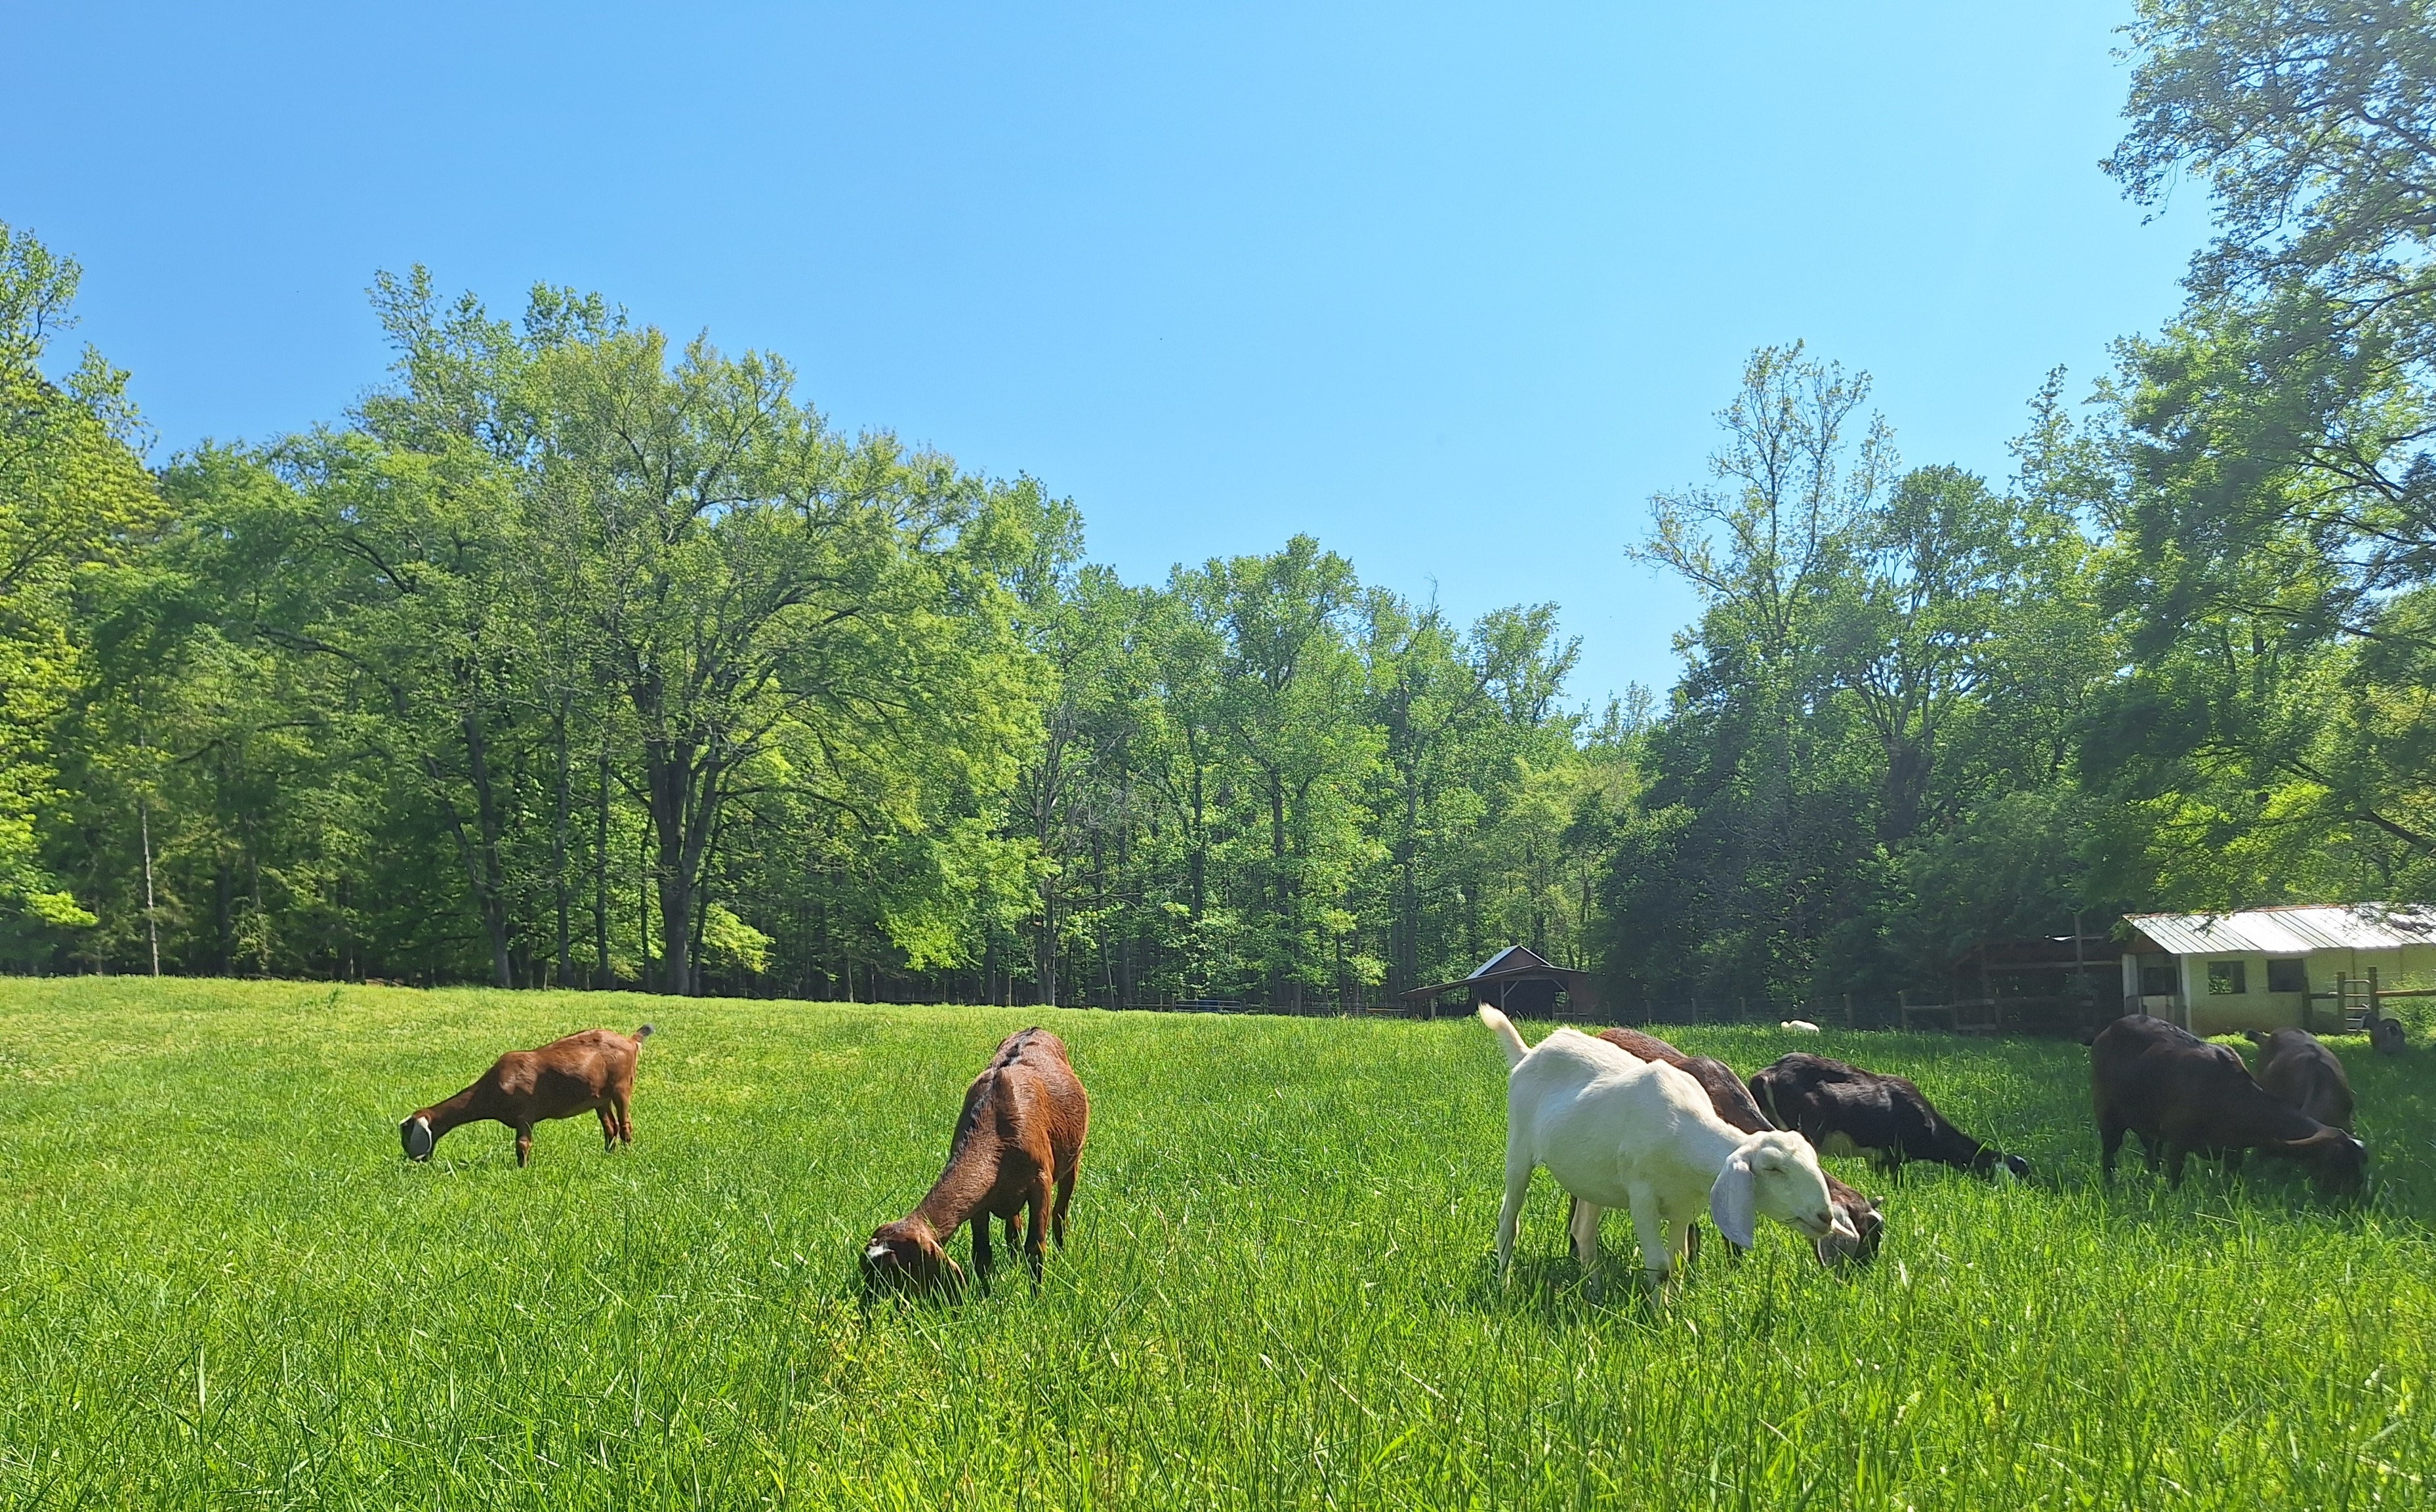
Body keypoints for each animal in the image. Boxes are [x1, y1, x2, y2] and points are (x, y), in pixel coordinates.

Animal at [400, 1025, 651, 1167]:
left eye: (407, 1135)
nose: (415, 1160)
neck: (492, 1088)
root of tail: (631, 1041)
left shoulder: (524, 1115)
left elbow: (522, 1144)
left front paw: (523, 1169)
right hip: (600, 1097)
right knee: (610, 1127)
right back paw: (609, 1155)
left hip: (621, 1087)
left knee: (625, 1125)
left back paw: (626, 1156)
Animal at [863, 1027, 1089, 1298]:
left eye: (895, 1271)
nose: (868, 1304)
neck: (996, 1130)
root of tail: (1035, 1028)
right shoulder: (981, 1203)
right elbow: (982, 1254)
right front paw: (987, 1297)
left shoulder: (1040, 1182)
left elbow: (1035, 1247)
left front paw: (1036, 1298)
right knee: (1013, 1227)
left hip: (1073, 1160)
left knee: (1061, 1212)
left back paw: (1062, 1251)